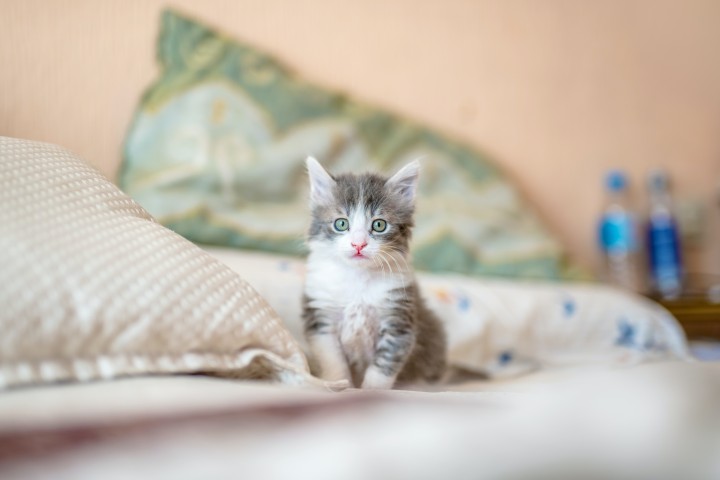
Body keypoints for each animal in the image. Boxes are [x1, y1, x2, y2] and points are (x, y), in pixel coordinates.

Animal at [300, 158, 448, 390]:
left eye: (379, 225)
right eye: (341, 223)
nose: (358, 244)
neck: (358, 278)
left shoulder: (398, 320)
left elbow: (383, 366)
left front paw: (370, 391)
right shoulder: (321, 318)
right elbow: (333, 360)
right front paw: (339, 384)